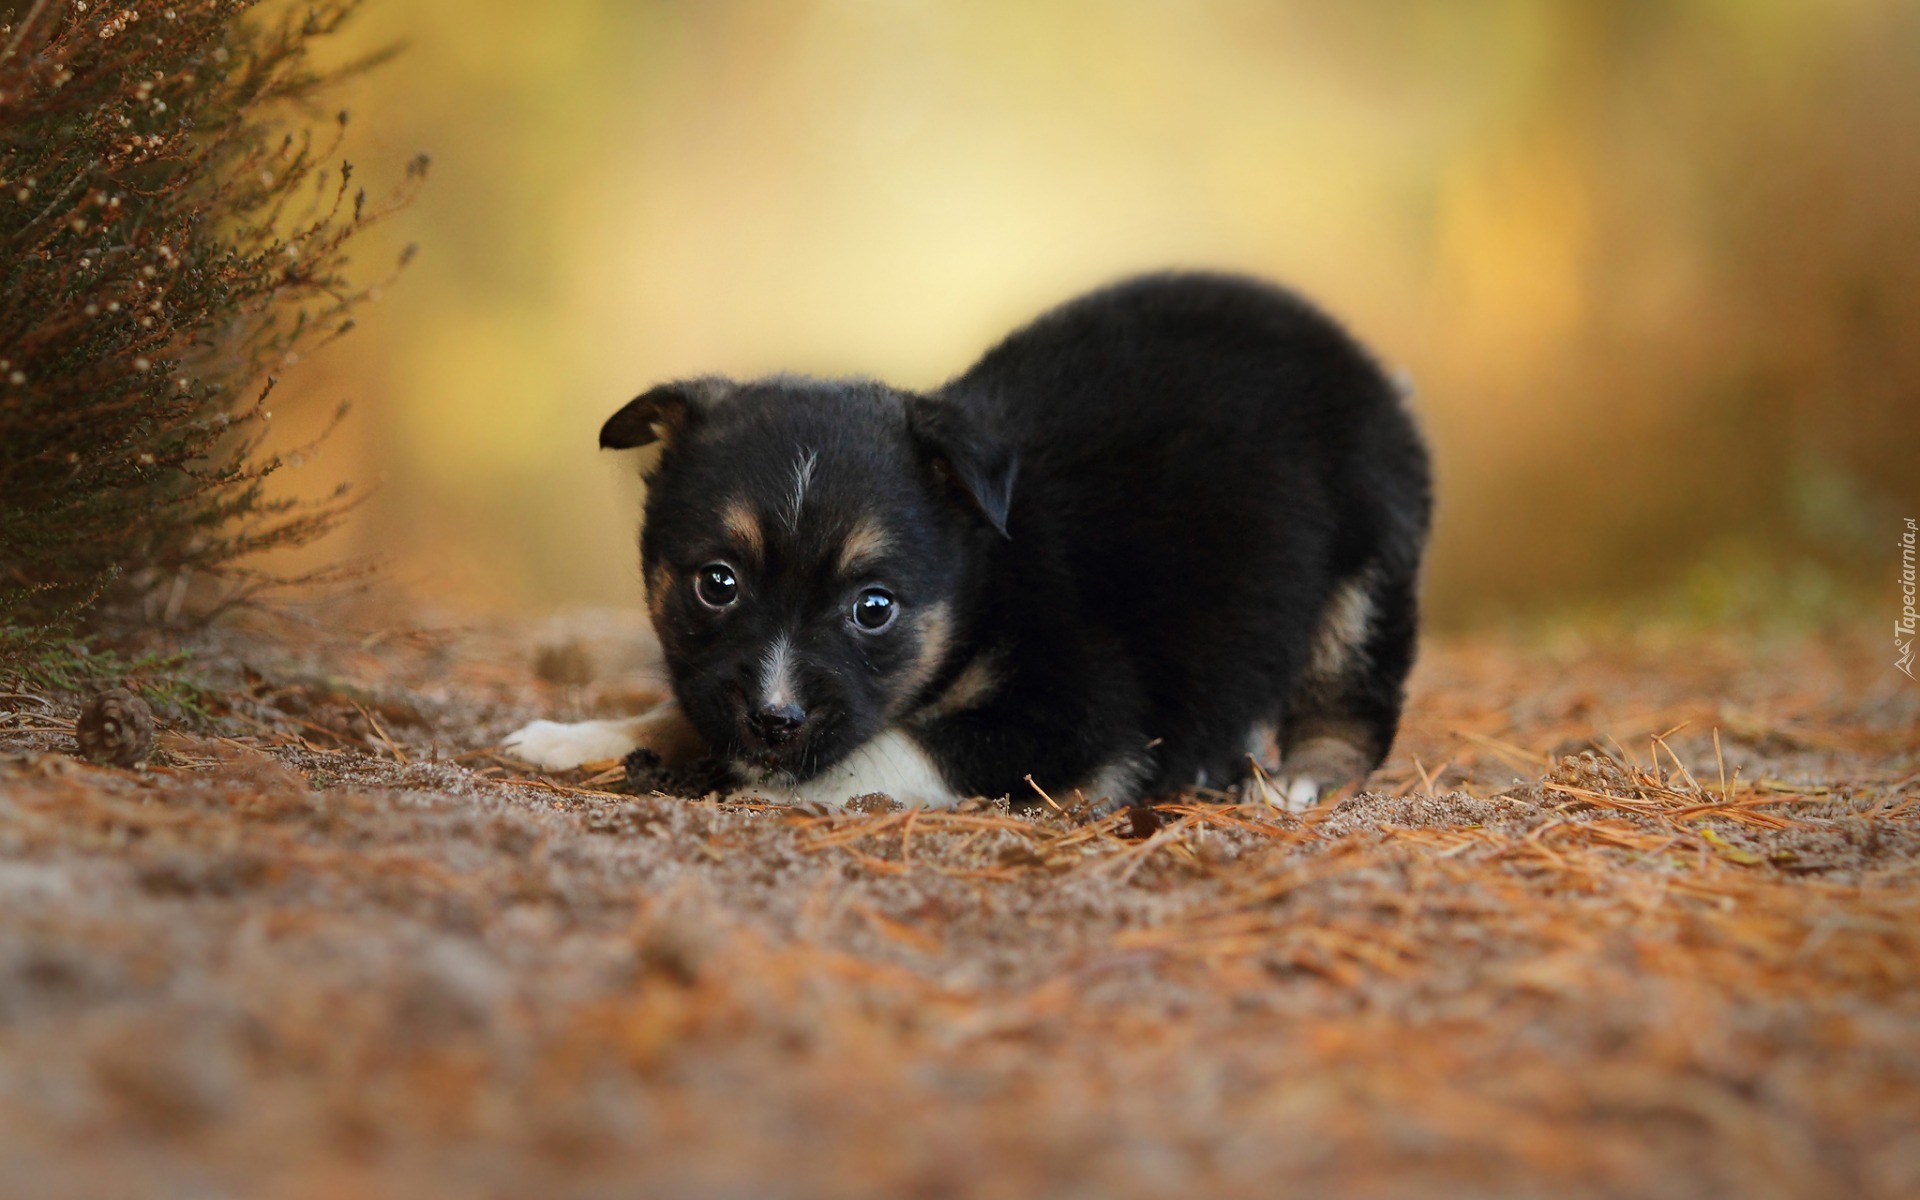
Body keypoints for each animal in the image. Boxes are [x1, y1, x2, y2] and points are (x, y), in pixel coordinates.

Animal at [503, 270, 1436, 810]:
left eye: (874, 608)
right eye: (716, 583)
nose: (773, 720)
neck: (985, 580)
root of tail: (1365, 362)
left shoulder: (1073, 710)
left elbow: (892, 747)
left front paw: (746, 781)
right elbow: (681, 707)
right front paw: (578, 738)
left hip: (1367, 573)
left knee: (1351, 705)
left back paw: (1302, 779)